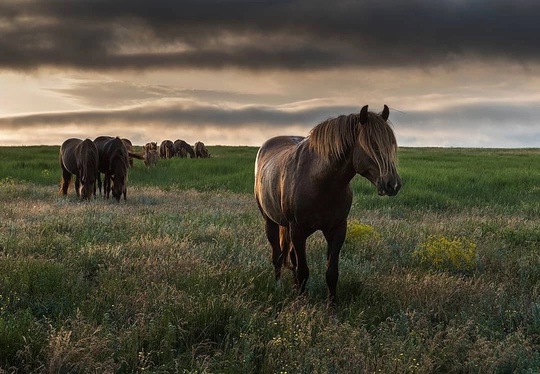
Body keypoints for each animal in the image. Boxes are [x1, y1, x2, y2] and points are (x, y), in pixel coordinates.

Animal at [254, 104, 400, 304]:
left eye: (391, 144)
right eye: (372, 144)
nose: (393, 184)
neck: (320, 181)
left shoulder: (337, 230)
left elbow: (331, 273)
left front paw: (332, 305)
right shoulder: (298, 230)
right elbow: (303, 271)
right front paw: (302, 303)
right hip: (270, 221)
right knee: (278, 256)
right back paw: (278, 286)